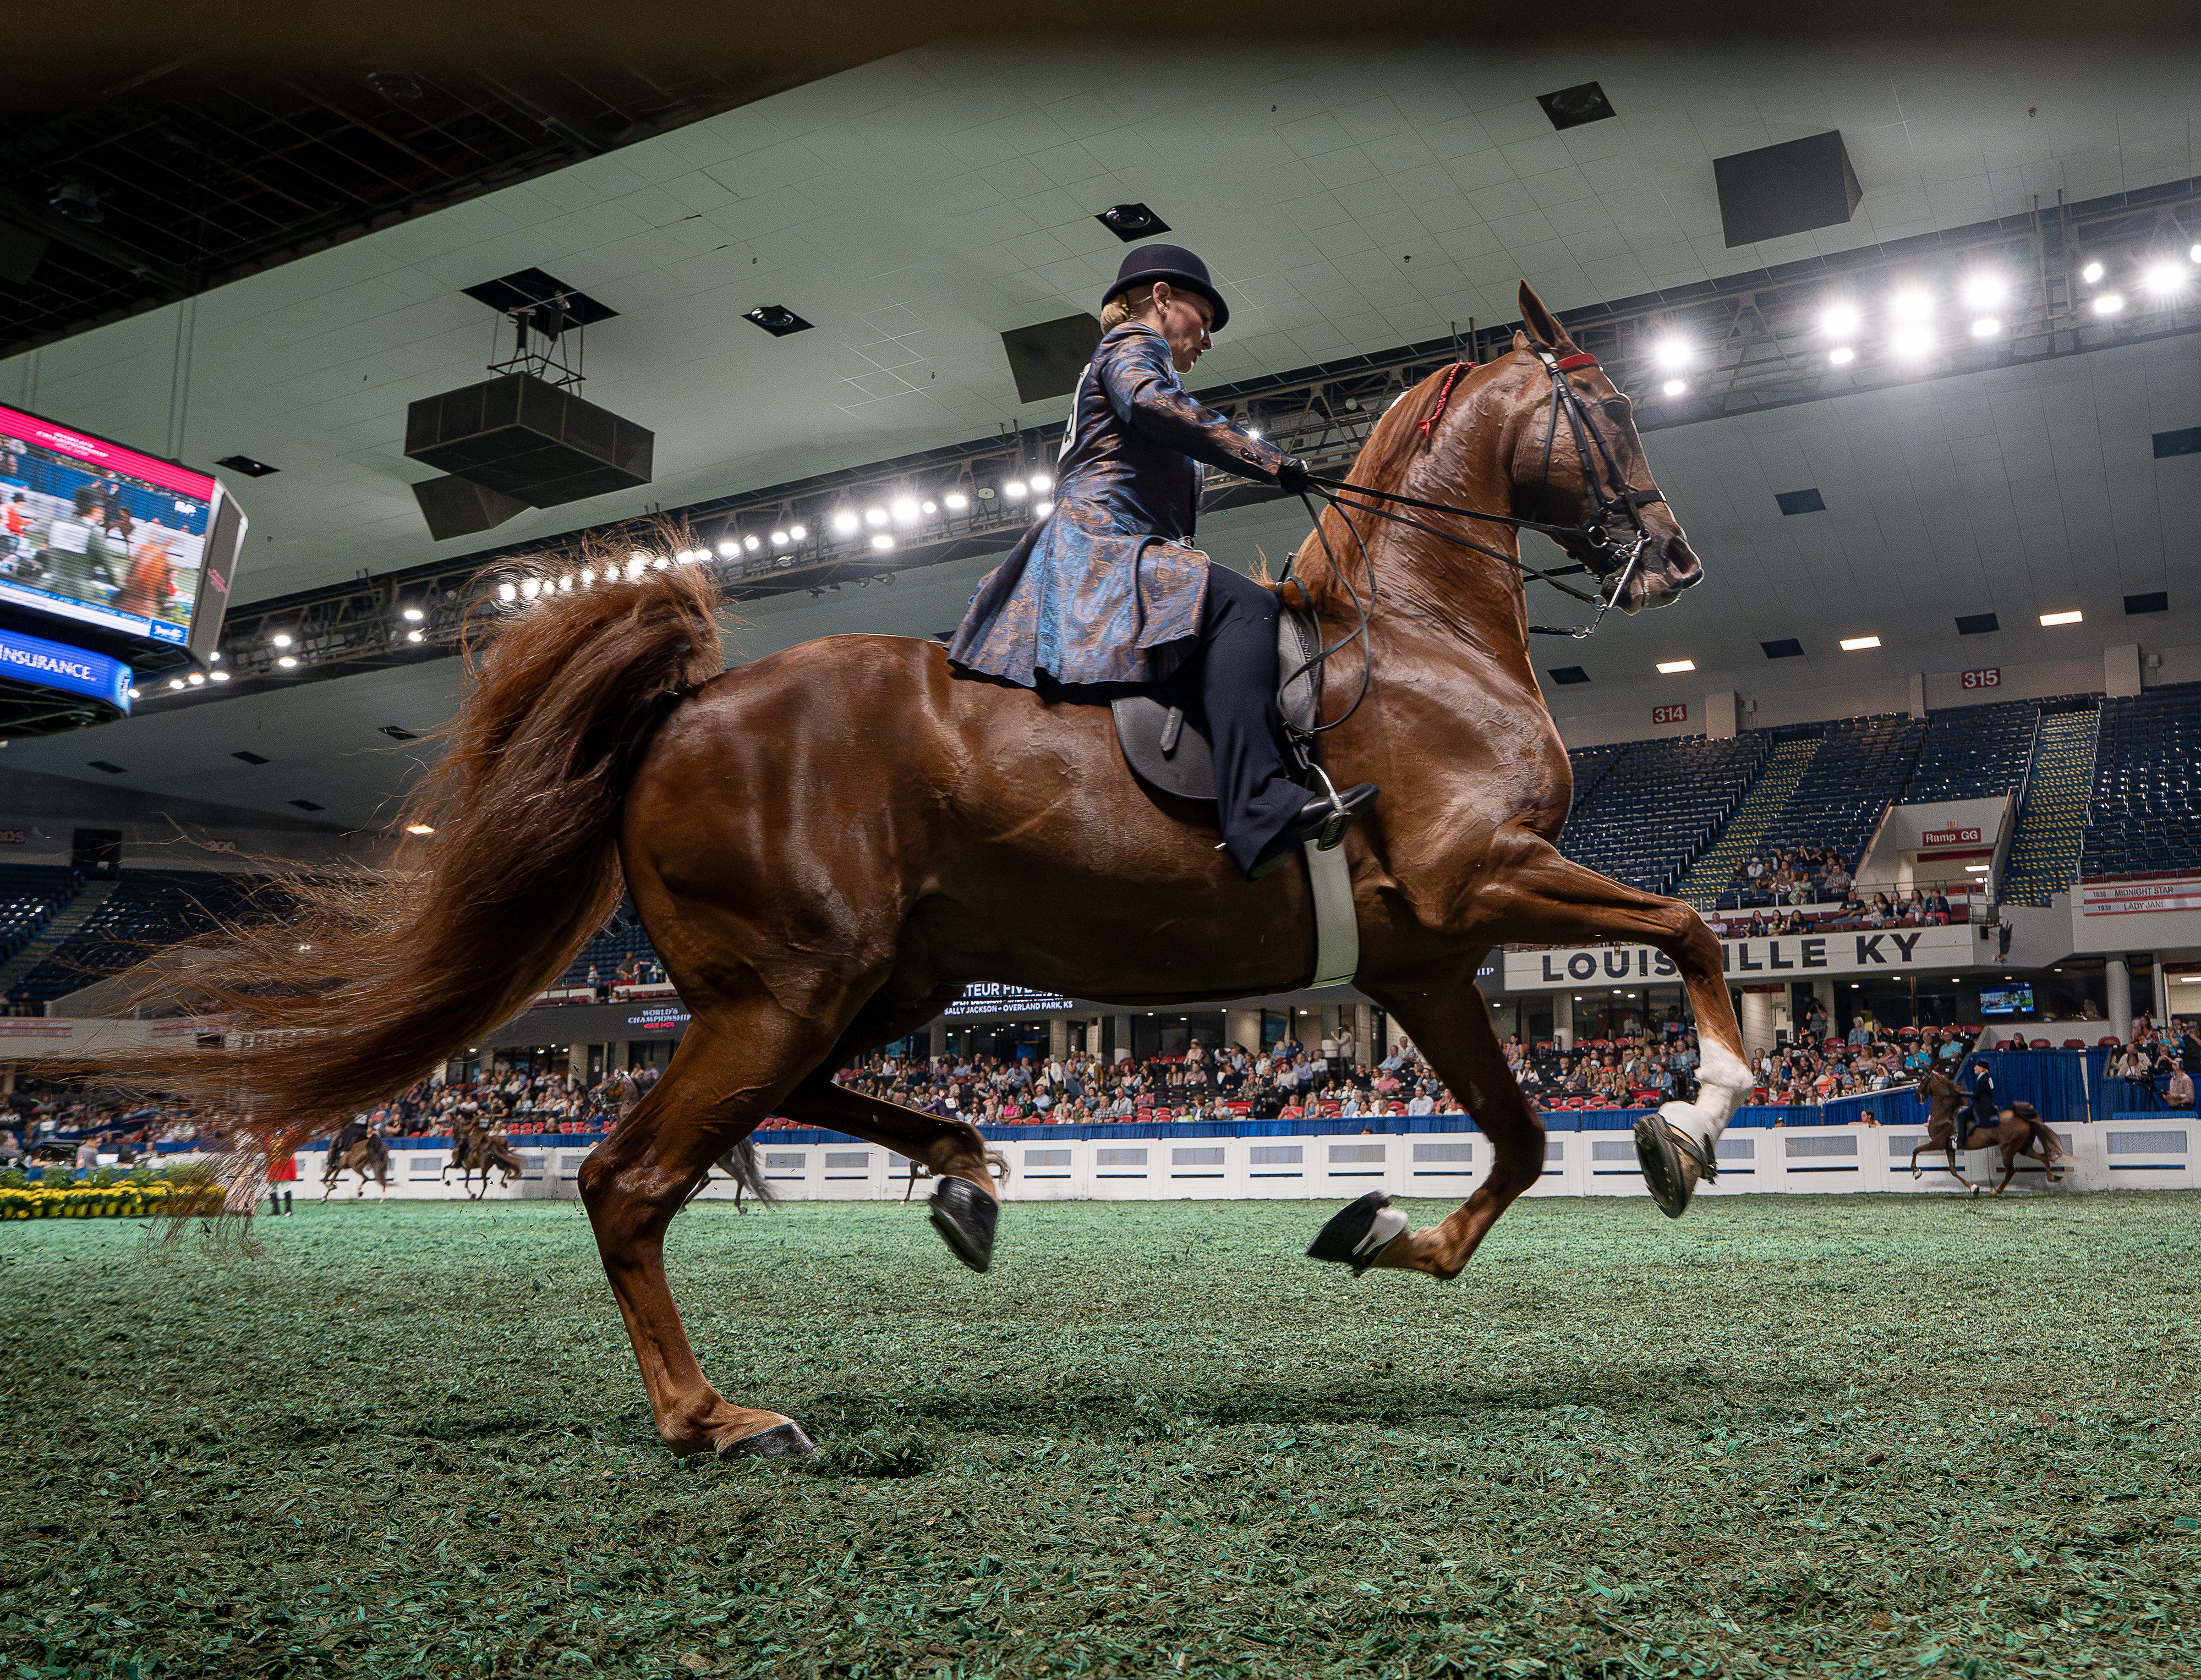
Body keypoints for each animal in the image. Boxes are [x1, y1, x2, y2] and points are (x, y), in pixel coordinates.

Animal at [127, 279, 1753, 1461]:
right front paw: (1695, 1115)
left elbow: (1524, 1137)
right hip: (788, 980)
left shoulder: (1425, 956)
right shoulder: (1484, 880)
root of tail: (688, 706)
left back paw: (964, 1176)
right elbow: (1691, 926)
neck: (1419, 633)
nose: (1675, 560)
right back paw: (716, 1417)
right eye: (1611, 406)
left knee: (778, 1109)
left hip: (878, 977)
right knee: (629, 1175)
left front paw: (1386, 1224)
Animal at [1914, 1067, 2069, 1194]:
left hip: (2007, 1149)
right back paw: (2053, 1178)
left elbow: (1916, 1150)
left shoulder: (1938, 1143)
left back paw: (1996, 1191)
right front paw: (1974, 1188)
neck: (1945, 1115)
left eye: (1923, 1080)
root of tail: (2023, 1118)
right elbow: (1953, 1170)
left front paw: (1917, 1172)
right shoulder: (1949, 1147)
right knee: (2043, 1157)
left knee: (2010, 1171)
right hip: (2024, 1148)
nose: (1916, 1096)